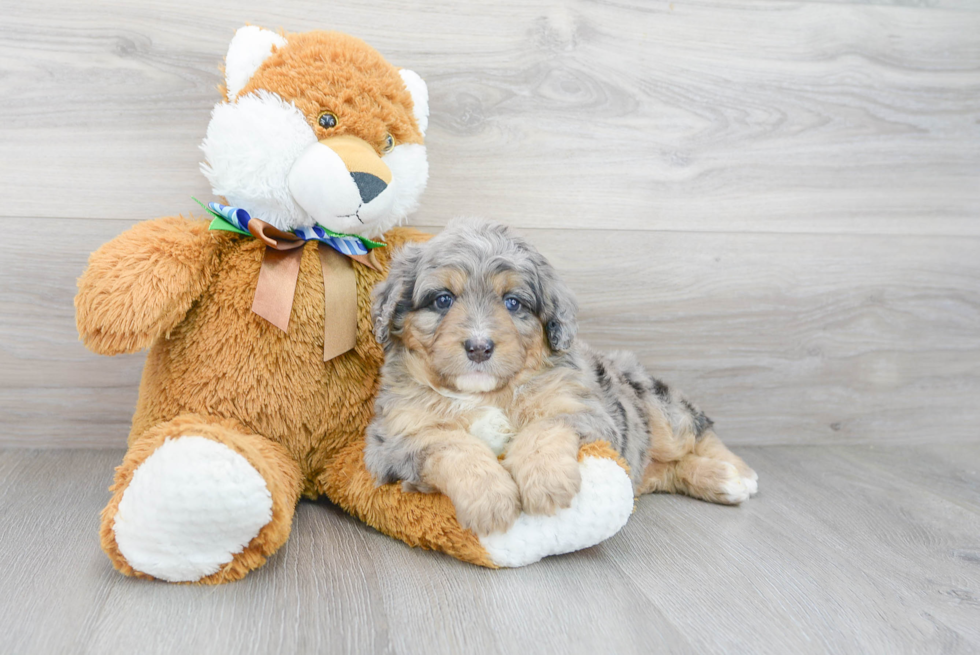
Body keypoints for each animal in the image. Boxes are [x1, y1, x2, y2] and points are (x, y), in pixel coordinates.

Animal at [368, 218, 756, 536]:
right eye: (443, 300)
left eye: (513, 303)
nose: (479, 348)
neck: (486, 394)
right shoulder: (392, 441)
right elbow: (451, 443)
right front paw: (491, 498)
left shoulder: (587, 412)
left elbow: (545, 428)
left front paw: (546, 483)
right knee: (671, 469)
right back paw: (720, 480)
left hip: (655, 407)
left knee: (697, 430)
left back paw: (738, 473)